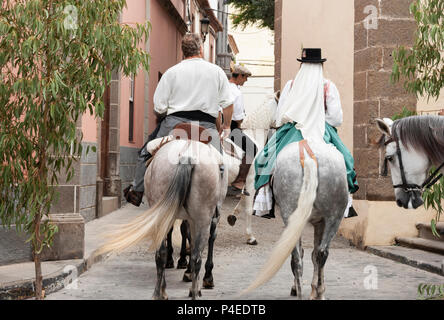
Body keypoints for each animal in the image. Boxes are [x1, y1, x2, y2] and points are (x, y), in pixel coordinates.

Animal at [98, 140, 227, 300]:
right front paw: (202, 278)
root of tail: (187, 155)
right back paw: (192, 288)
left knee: (163, 253)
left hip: (168, 214)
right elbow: (202, 238)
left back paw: (160, 292)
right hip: (201, 218)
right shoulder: (205, 218)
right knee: (196, 255)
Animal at [243, 139, 350, 300]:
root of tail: (309, 157)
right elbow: (315, 254)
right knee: (322, 253)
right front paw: (317, 292)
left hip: (291, 216)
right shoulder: (320, 222)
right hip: (334, 217)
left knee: (296, 258)